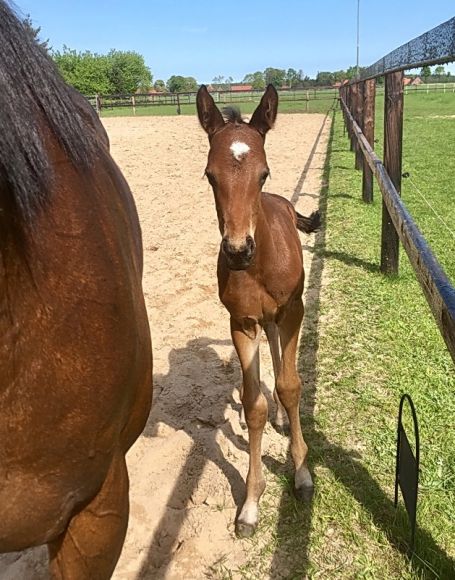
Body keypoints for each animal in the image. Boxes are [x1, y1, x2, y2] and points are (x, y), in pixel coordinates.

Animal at [197, 84, 320, 536]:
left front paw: (301, 474)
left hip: (282, 316)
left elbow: (290, 385)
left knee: (283, 364)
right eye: (210, 175)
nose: (237, 251)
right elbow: (254, 406)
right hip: (264, 321)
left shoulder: (294, 312)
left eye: (263, 172)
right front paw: (250, 503)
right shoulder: (242, 324)